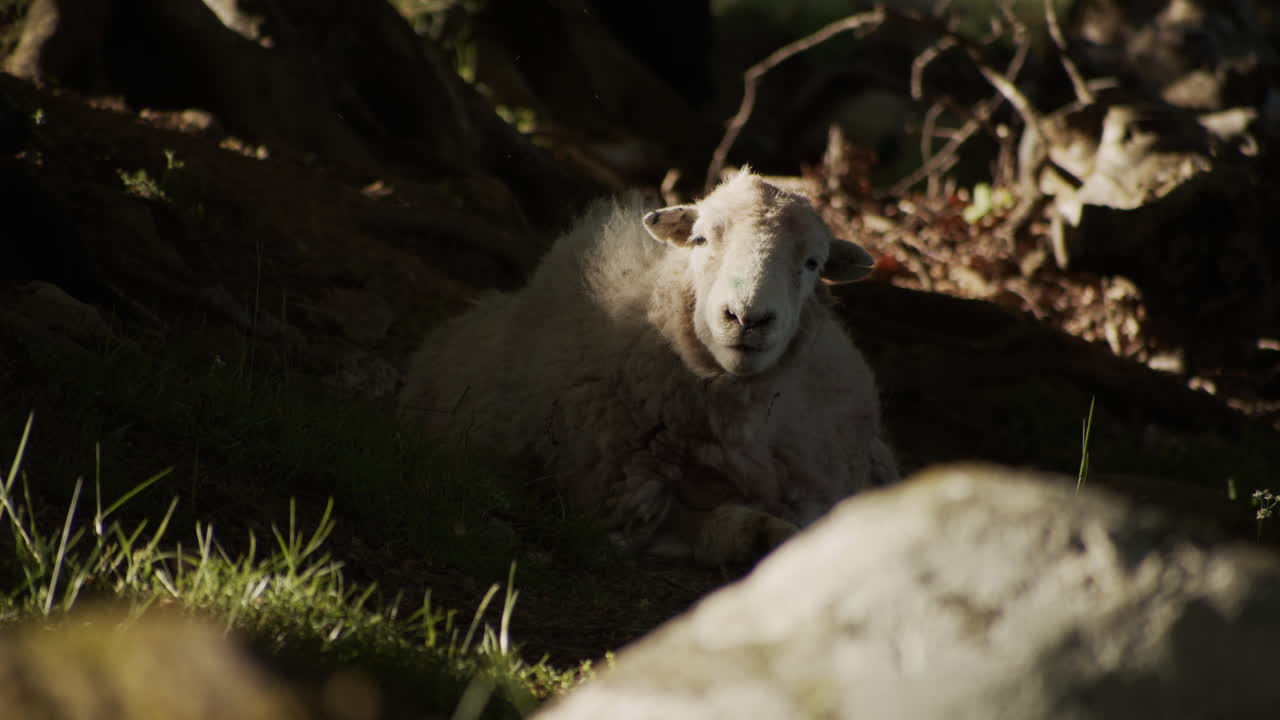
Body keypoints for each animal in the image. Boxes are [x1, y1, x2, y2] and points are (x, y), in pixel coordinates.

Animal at [400, 170, 897, 565]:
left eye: (813, 263)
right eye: (700, 239)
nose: (747, 318)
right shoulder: (623, 493)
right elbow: (716, 524)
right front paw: (756, 535)